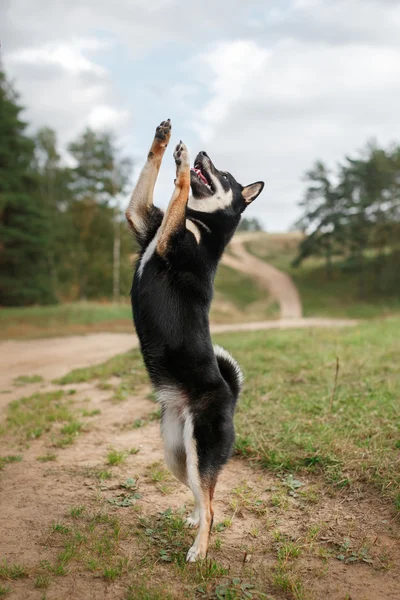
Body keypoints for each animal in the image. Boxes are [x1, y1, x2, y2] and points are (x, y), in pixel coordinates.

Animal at [126, 118, 264, 564]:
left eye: (224, 175)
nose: (203, 153)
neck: (199, 227)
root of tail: (231, 396)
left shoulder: (169, 237)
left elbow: (180, 188)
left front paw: (183, 164)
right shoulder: (142, 219)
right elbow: (155, 178)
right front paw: (162, 139)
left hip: (200, 449)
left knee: (212, 505)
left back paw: (199, 550)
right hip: (176, 454)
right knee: (204, 497)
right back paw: (193, 520)